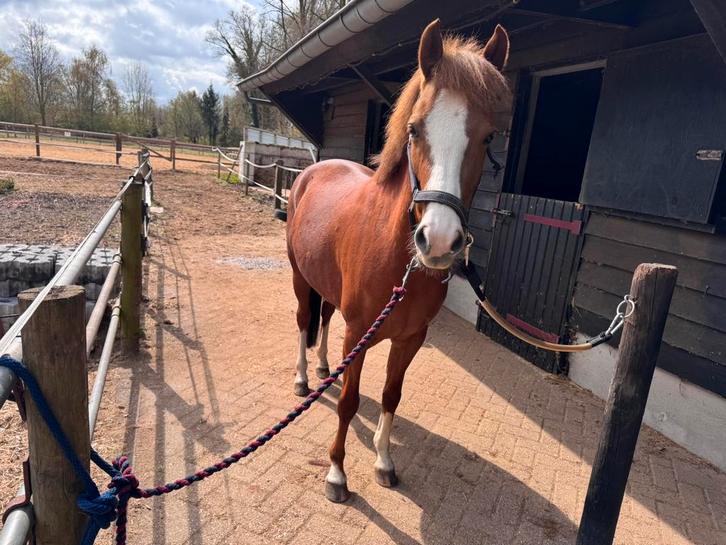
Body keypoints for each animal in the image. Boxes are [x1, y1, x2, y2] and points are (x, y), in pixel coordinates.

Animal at [286, 19, 512, 503]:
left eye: (487, 137)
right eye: (414, 130)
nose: (439, 240)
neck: (398, 260)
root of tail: (315, 168)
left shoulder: (410, 339)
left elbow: (391, 396)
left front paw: (384, 462)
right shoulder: (359, 334)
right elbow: (349, 402)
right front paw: (337, 473)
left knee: (325, 318)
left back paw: (323, 367)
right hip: (299, 277)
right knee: (303, 320)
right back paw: (302, 377)